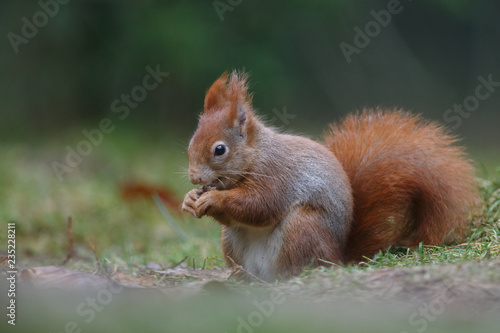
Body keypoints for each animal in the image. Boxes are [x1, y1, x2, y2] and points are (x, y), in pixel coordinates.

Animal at [181, 70, 480, 280]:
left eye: (220, 150)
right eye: (190, 143)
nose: (194, 178)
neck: (256, 156)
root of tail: (338, 258)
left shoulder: (277, 175)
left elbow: (259, 206)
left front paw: (213, 199)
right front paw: (189, 199)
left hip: (303, 228)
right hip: (231, 240)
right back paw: (241, 276)